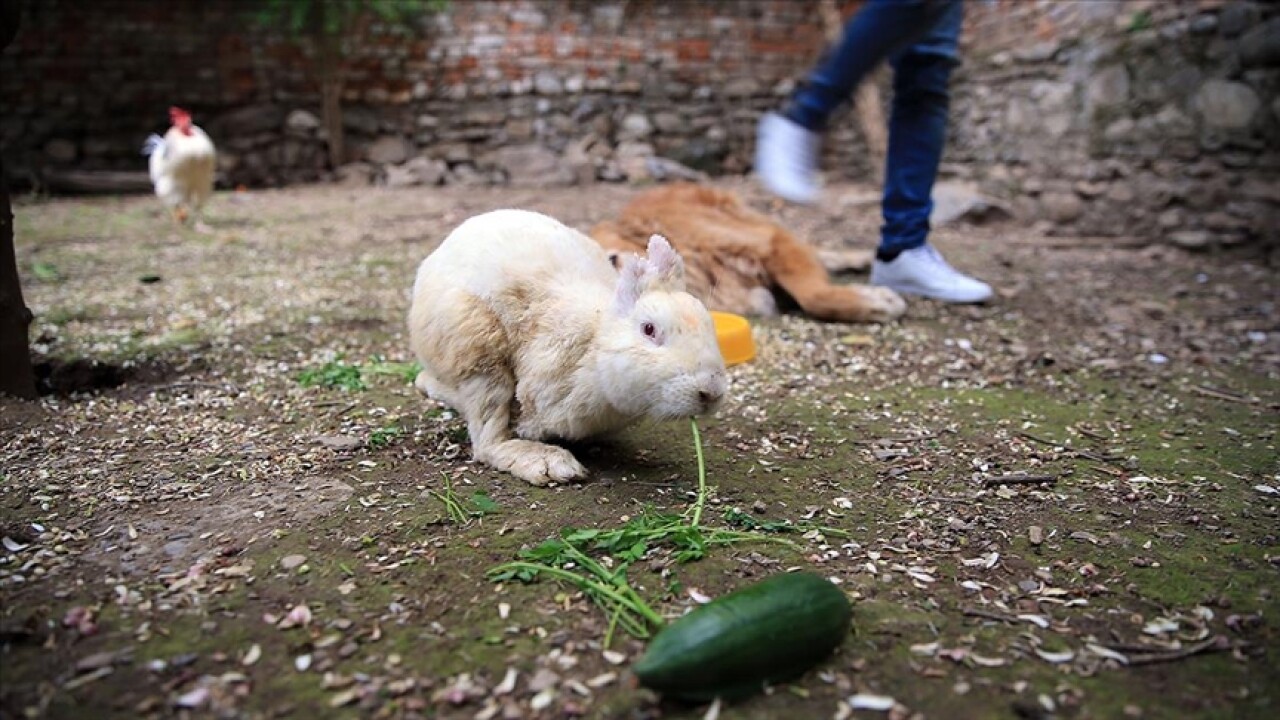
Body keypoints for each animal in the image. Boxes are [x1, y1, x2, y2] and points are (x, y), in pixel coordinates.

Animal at [409, 208, 732, 486]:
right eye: (649, 329)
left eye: (709, 325)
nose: (711, 393)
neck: (594, 345)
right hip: (475, 346)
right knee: (487, 439)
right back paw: (549, 464)